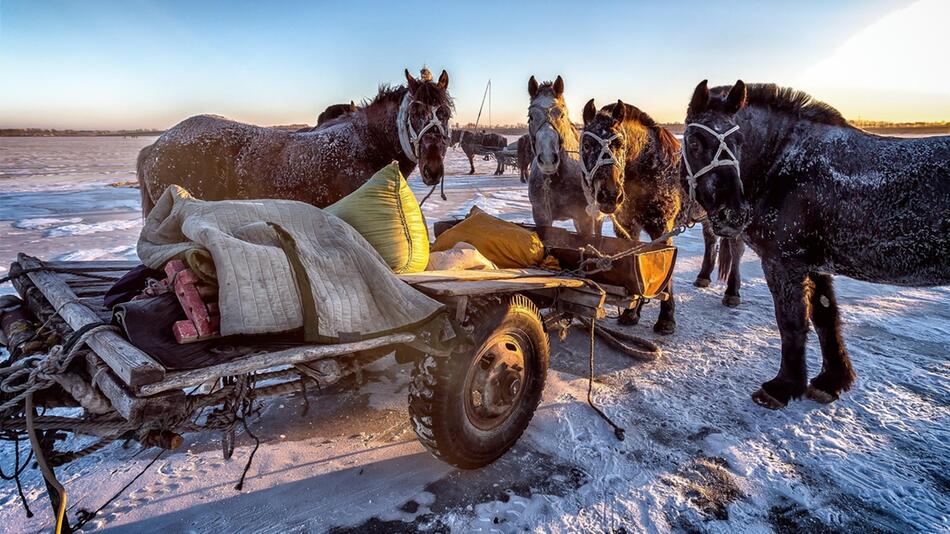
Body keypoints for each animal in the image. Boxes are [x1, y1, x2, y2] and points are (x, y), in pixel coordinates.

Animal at [684, 78, 950, 410]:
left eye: (740, 142)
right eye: (694, 142)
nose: (734, 213)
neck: (783, 165)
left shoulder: (784, 262)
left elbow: (791, 321)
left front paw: (781, 387)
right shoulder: (815, 264)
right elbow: (825, 317)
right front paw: (830, 381)